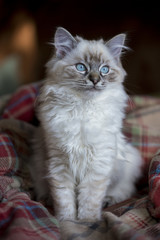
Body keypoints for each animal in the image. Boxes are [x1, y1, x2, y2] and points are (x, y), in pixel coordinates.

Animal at [30, 27, 142, 220]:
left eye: (105, 69)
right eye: (81, 67)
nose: (95, 80)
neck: (83, 107)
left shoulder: (98, 163)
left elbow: (90, 200)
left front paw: (87, 221)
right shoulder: (59, 162)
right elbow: (64, 199)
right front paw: (66, 220)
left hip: (129, 160)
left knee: (124, 190)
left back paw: (110, 200)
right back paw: (47, 199)